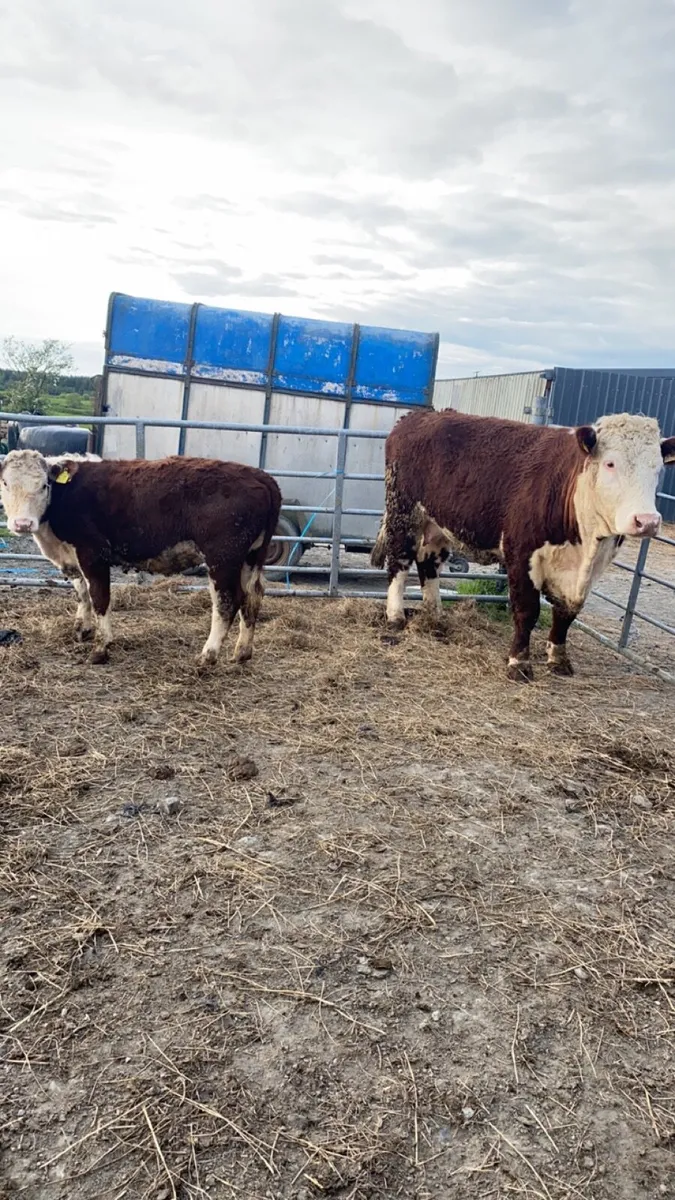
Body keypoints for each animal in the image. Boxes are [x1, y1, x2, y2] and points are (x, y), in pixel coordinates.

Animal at [0, 450, 282, 668]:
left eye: (43, 485)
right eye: (4, 483)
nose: (23, 524)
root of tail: (261, 476)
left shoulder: (94, 554)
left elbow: (100, 598)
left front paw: (101, 649)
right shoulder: (72, 557)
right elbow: (82, 593)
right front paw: (82, 630)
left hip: (222, 558)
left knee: (227, 602)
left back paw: (207, 655)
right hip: (251, 557)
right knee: (253, 596)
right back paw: (242, 652)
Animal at [371, 410, 675, 681]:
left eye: (658, 469)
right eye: (610, 463)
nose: (647, 521)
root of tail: (418, 416)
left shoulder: (591, 568)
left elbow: (566, 614)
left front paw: (559, 659)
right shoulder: (521, 554)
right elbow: (527, 611)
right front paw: (519, 664)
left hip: (437, 524)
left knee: (428, 563)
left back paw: (435, 616)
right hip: (404, 513)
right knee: (399, 562)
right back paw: (395, 616)